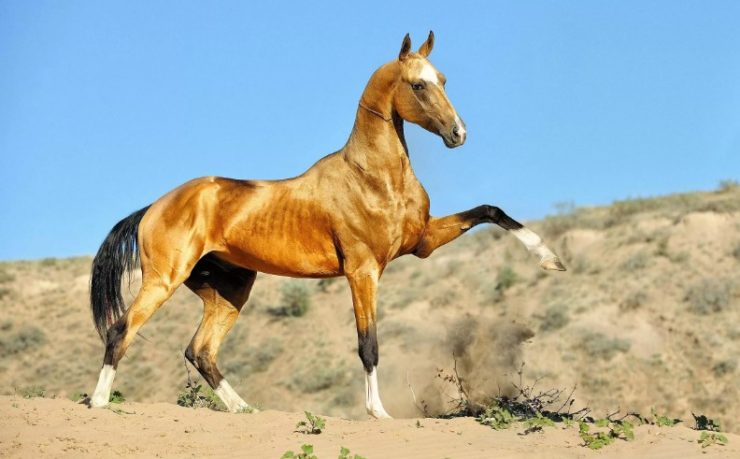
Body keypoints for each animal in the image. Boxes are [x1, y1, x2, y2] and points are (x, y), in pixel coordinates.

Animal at [89, 31, 565, 419]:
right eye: (418, 84)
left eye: (443, 79)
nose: (458, 133)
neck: (372, 178)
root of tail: (153, 207)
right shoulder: (363, 271)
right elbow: (368, 344)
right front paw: (378, 412)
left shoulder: (423, 242)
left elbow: (491, 211)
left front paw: (551, 260)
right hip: (164, 280)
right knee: (121, 331)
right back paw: (99, 403)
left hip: (229, 290)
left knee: (200, 351)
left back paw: (245, 409)